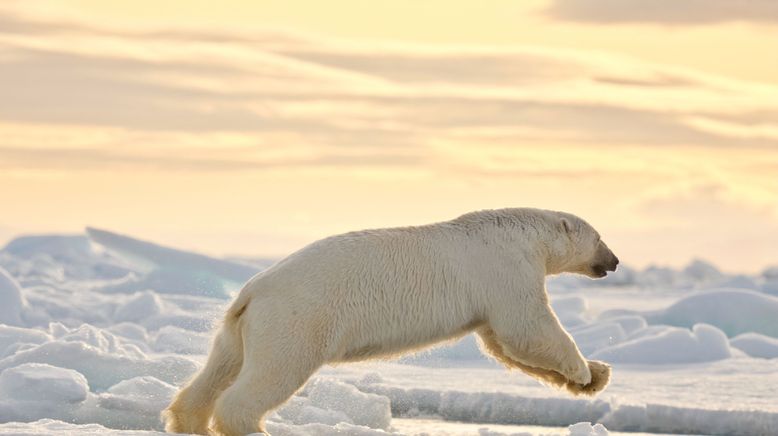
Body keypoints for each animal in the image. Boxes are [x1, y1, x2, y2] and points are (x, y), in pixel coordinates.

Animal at [162, 209, 620, 436]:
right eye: (599, 237)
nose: (615, 261)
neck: (525, 233)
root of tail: (251, 292)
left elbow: (504, 345)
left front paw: (595, 376)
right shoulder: (505, 267)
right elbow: (527, 327)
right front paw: (584, 372)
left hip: (238, 329)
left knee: (218, 369)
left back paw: (189, 422)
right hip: (296, 320)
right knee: (270, 376)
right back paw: (254, 429)